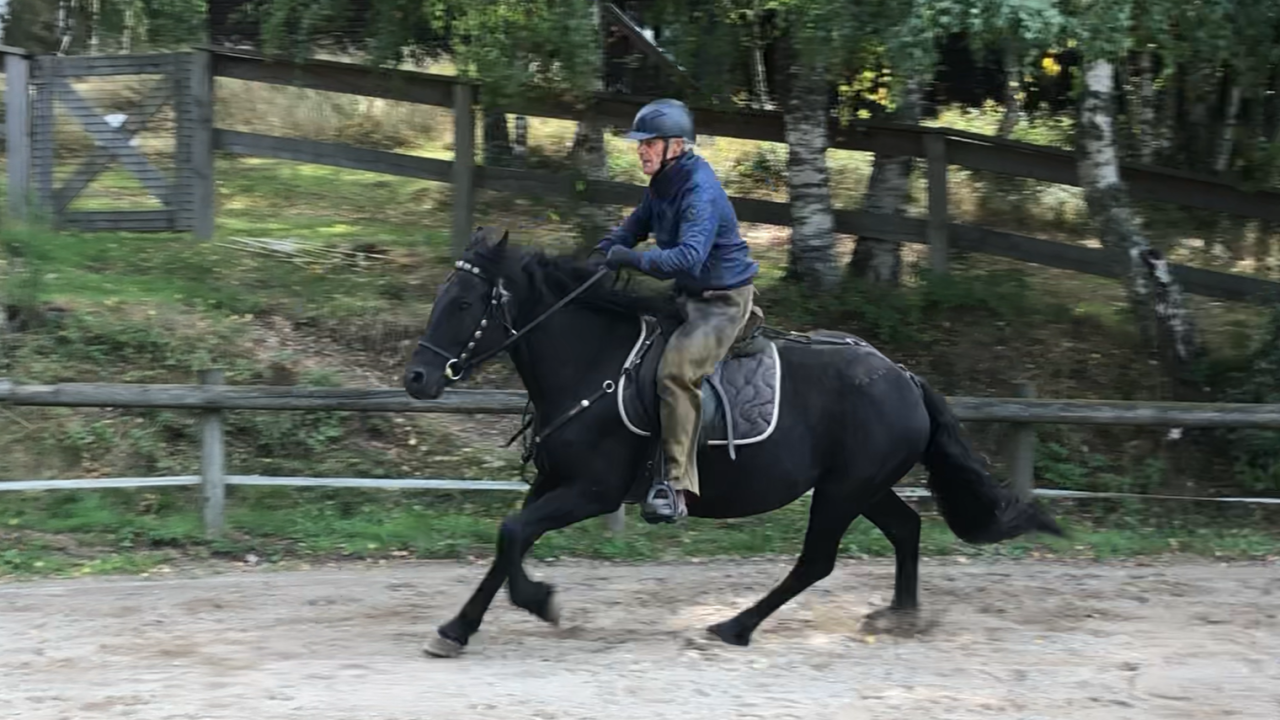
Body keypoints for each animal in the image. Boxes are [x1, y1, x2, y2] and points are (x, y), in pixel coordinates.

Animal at [402, 227, 1063, 657]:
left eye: (465, 302)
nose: (417, 379)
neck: (592, 362)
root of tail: (904, 376)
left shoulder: (592, 490)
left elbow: (514, 535)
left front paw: (541, 601)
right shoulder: (552, 481)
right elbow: (506, 541)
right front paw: (457, 629)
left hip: (844, 490)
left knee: (817, 561)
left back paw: (734, 627)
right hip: (863, 486)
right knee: (905, 530)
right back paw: (899, 619)